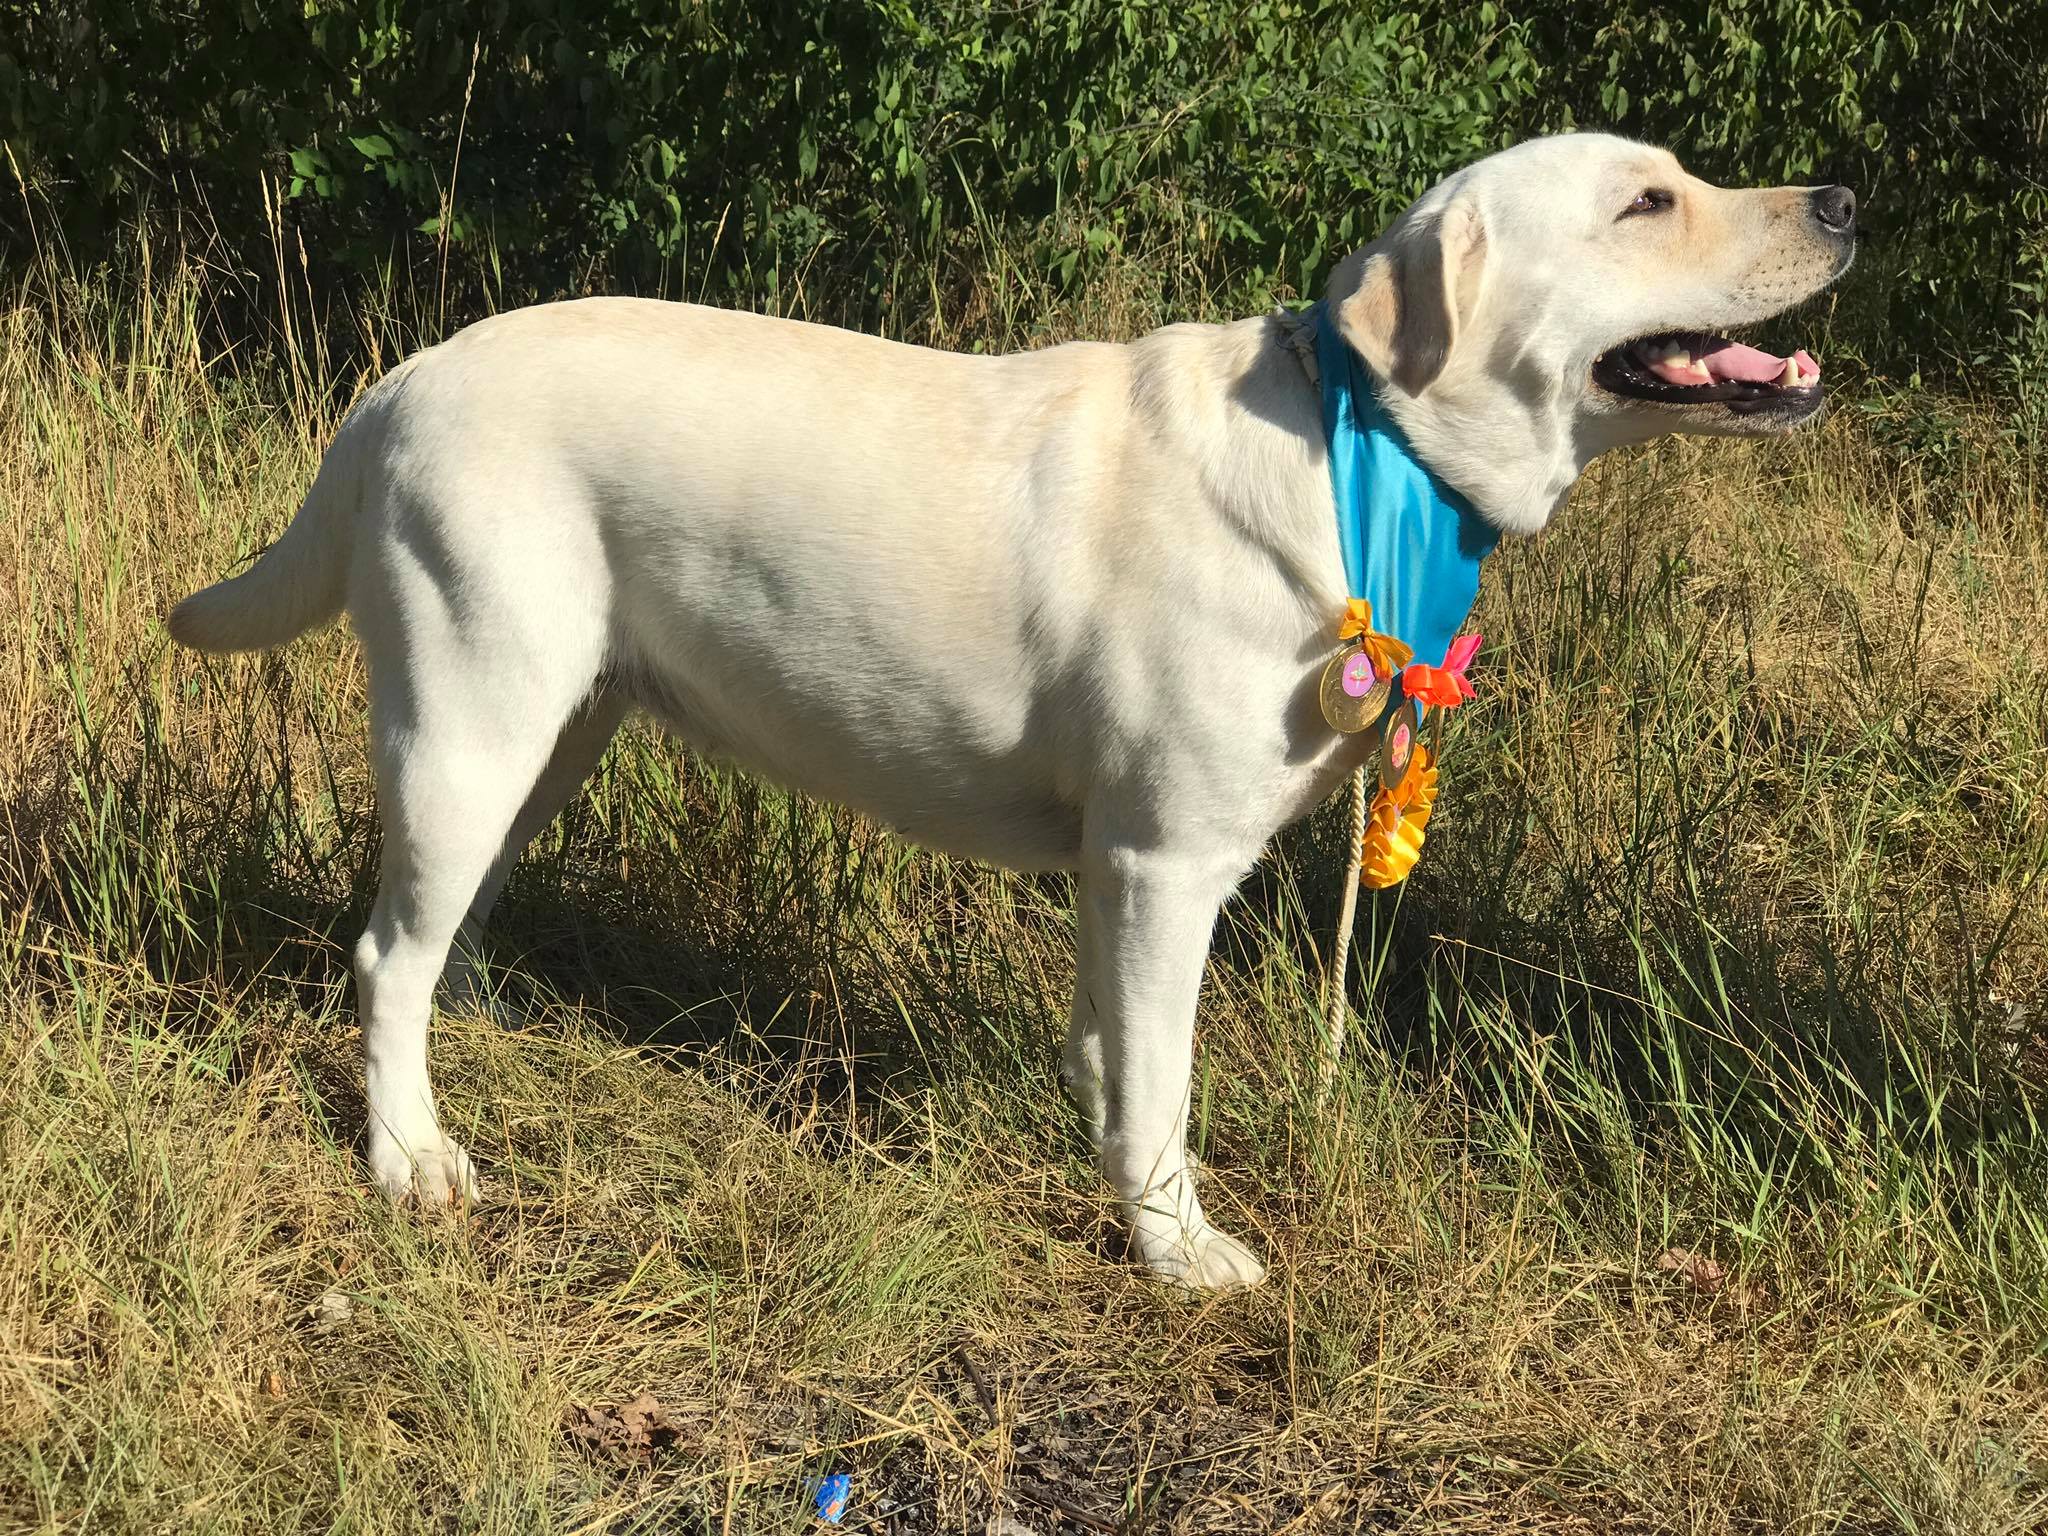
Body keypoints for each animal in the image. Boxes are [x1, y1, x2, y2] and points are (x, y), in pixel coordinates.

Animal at [169, 133, 1854, 1289]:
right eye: (1648, 204)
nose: (1845, 204)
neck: (1363, 451)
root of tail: (398, 385)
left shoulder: (1116, 866)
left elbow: (1114, 1049)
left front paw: (1109, 1161)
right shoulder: (1171, 861)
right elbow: (1165, 1080)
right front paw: (1177, 1248)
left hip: (553, 729)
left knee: (436, 932)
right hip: (473, 719)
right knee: (386, 952)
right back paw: (409, 1156)